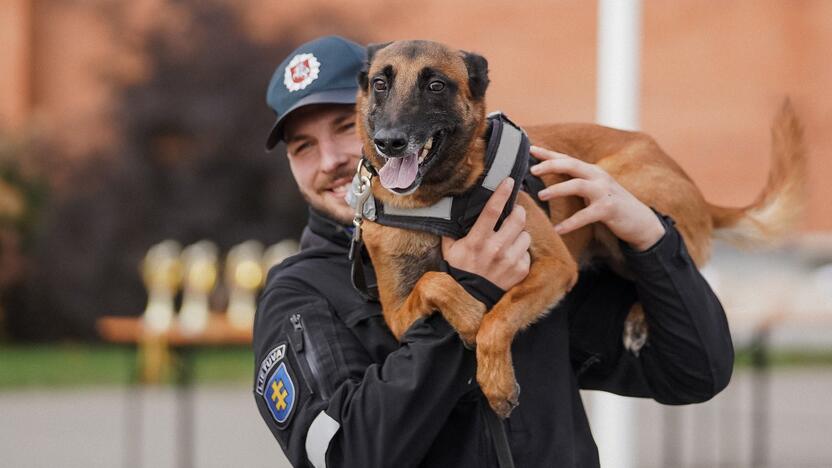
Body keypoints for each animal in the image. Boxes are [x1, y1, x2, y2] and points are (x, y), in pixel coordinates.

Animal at [350, 40, 808, 418]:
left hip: (618, 193)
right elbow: (436, 282)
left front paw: (495, 379)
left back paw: (641, 313)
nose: (390, 141)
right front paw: (468, 314)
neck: (439, 202)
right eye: (380, 84)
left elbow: (498, 318)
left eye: (436, 85)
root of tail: (686, 178)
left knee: (678, 248)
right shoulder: (397, 315)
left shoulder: (555, 266)